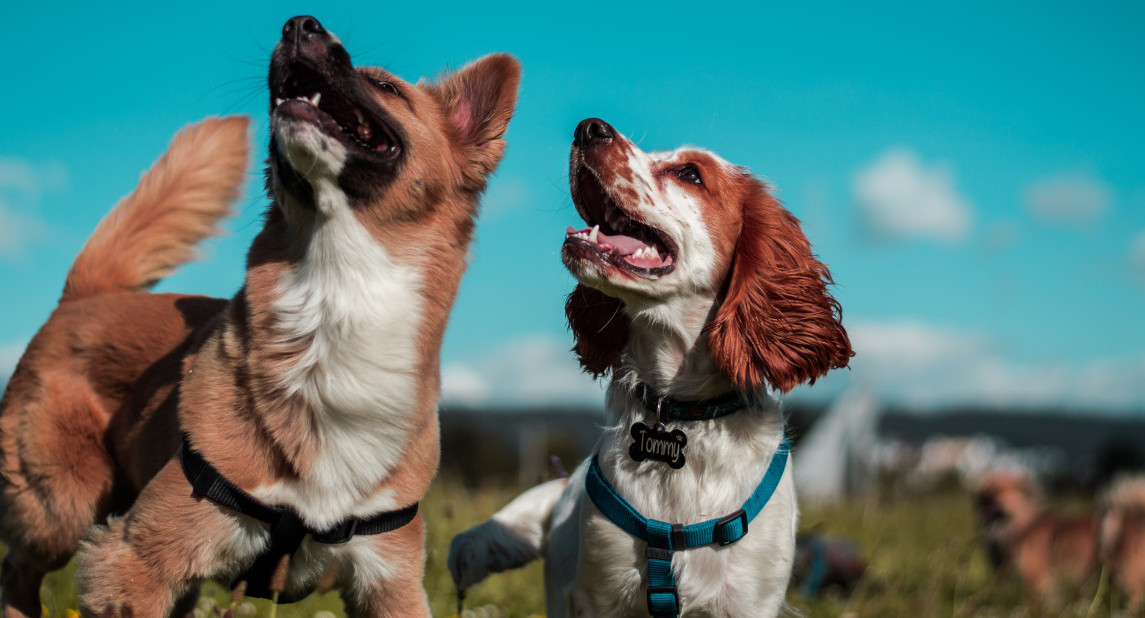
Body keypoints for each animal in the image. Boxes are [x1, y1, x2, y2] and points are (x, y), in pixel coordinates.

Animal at [0, 14, 519, 618]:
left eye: (385, 87)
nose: (300, 24)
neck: (336, 295)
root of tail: (89, 294)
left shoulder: (392, 581)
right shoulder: (136, 559)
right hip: (61, 507)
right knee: (18, 568)